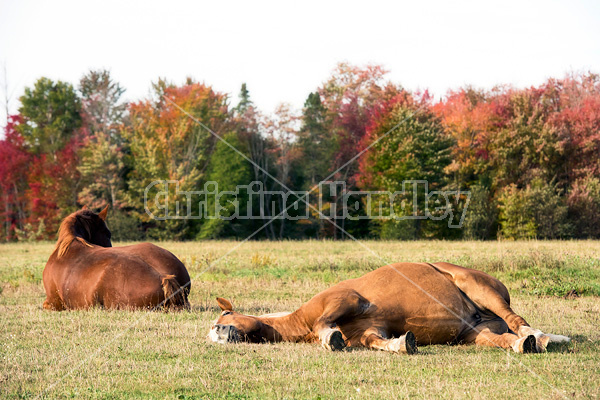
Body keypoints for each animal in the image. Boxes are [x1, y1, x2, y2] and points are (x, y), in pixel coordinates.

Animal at [209, 262, 568, 354]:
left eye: (223, 316)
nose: (219, 334)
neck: (301, 320)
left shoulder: (346, 299)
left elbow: (326, 323)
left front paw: (329, 338)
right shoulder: (370, 330)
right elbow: (377, 341)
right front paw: (402, 344)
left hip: (481, 289)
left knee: (517, 320)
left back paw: (538, 336)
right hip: (476, 333)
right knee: (506, 339)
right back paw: (527, 344)